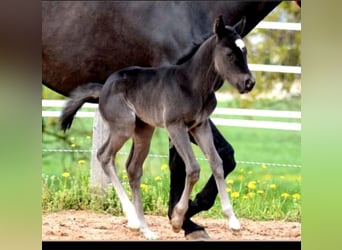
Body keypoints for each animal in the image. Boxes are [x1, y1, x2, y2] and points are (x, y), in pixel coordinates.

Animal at [42, 0, 282, 240]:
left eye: (245, 51)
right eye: (230, 54)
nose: (249, 83)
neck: (191, 83)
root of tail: (103, 89)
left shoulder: (199, 125)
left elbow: (218, 161)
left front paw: (231, 220)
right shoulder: (175, 126)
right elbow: (190, 167)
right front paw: (179, 219)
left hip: (143, 131)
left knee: (133, 168)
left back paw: (146, 228)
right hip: (124, 127)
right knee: (104, 156)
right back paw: (133, 219)